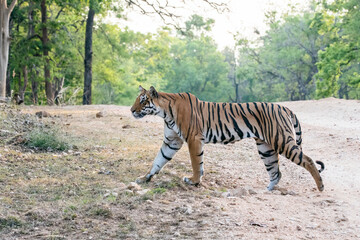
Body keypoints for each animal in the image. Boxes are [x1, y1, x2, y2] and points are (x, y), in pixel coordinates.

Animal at [129, 86, 324, 191]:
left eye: (143, 100)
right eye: (137, 99)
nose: (131, 110)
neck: (164, 112)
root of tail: (284, 107)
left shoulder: (193, 138)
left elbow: (196, 163)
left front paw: (193, 181)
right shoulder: (172, 141)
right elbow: (158, 160)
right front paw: (144, 178)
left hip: (282, 140)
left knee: (308, 160)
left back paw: (320, 187)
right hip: (266, 148)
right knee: (275, 172)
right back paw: (266, 190)